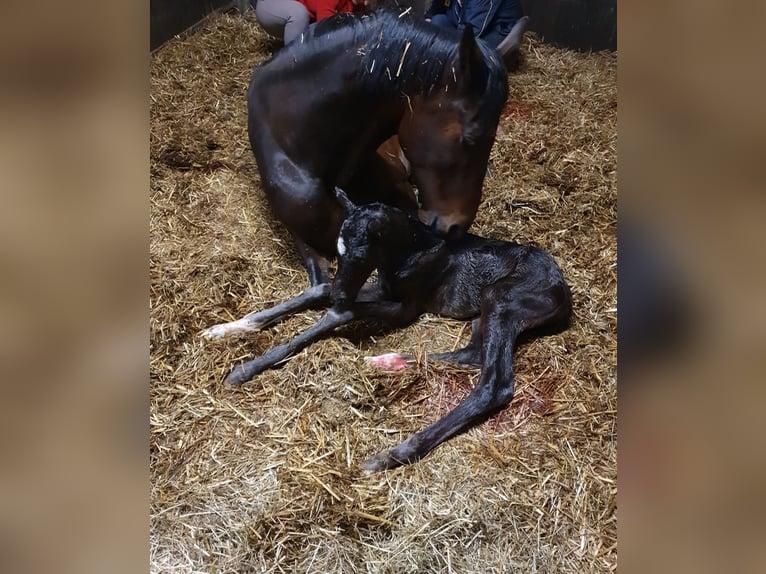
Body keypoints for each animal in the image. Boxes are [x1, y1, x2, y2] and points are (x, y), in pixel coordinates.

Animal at [204, 189, 568, 472]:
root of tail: (563, 293)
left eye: (361, 254)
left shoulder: (405, 306)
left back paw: (392, 454)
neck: (409, 251)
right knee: (473, 354)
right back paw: (387, 361)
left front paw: (245, 369)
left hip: (501, 298)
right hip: (485, 309)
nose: (341, 292)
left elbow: (339, 313)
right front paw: (225, 329)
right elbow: (317, 291)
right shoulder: (380, 287)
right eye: (337, 251)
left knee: (495, 383)